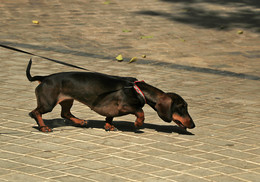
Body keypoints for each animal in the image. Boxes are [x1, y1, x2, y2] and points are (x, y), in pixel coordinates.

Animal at [26, 59, 194, 132]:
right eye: (181, 107)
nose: (193, 125)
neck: (138, 89)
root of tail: (44, 77)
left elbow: (109, 117)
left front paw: (109, 125)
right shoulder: (126, 106)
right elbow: (140, 111)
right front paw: (138, 124)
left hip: (68, 100)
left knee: (65, 113)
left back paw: (80, 121)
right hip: (48, 103)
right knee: (34, 112)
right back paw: (43, 127)